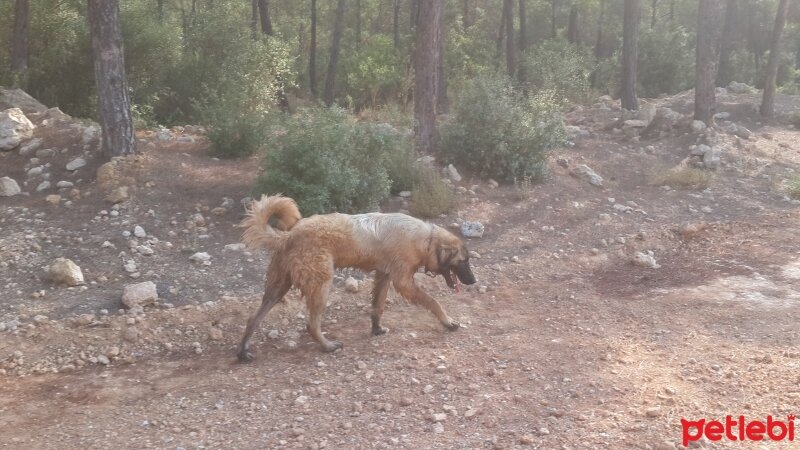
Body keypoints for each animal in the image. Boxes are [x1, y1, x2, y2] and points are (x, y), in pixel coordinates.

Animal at [236, 194, 476, 362]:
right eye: (463, 261)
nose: (473, 281)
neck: (427, 241)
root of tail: (288, 235)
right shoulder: (403, 281)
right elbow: (433, 302)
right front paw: (448, 321)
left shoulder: (384, 275)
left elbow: (378, 306)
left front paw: (376, 329)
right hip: (321, 283)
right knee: (311, 324)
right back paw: (327, 346)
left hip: (278, 287)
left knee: (253, 318)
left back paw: (243, 352)